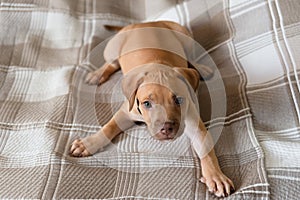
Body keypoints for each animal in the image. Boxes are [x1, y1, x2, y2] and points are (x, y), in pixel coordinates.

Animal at [70, 20, 234, 197]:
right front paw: (88, 143)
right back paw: (97, 74)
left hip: (185, 36)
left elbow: (206, 150)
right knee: (111, 62)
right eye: (147, 103)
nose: (167, 128)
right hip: (112, 48)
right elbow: (109, 127)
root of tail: (143, 23)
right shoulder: (127, 110)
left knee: (191, 59)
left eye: (179, 100)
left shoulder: (194, 122)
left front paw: (216, 176)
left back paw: (201, 69)